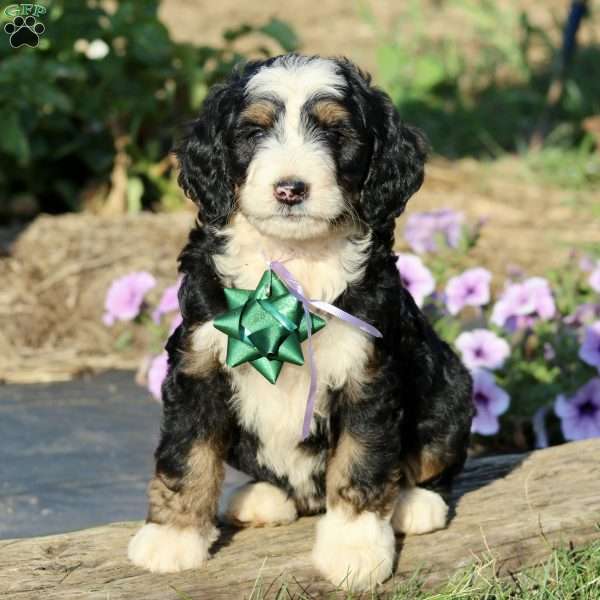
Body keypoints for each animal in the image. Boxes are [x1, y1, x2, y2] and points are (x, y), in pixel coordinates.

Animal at [130, 55, 474, 592]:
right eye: (254, 132)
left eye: (335, 133)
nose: (290, 189)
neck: (292, 261)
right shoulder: (198, 365)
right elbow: (187, 453)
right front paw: (172, 538)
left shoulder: (367, 374)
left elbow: (361, 461)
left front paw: (354, 550)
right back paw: (261, 498)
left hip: (451, 389)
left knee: (433, 460)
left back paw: (414, 503)